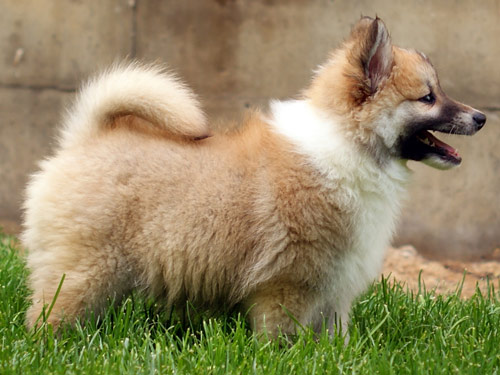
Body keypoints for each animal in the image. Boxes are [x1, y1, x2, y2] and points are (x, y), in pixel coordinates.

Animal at [22, 16, 484, 338]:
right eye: (428, 98)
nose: (481, 117)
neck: (349, 145)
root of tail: (86, 136)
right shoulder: (289, 284)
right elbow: (281, 335)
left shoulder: (334, 292)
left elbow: (336, 338)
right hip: (85, 270)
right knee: (50, 311)